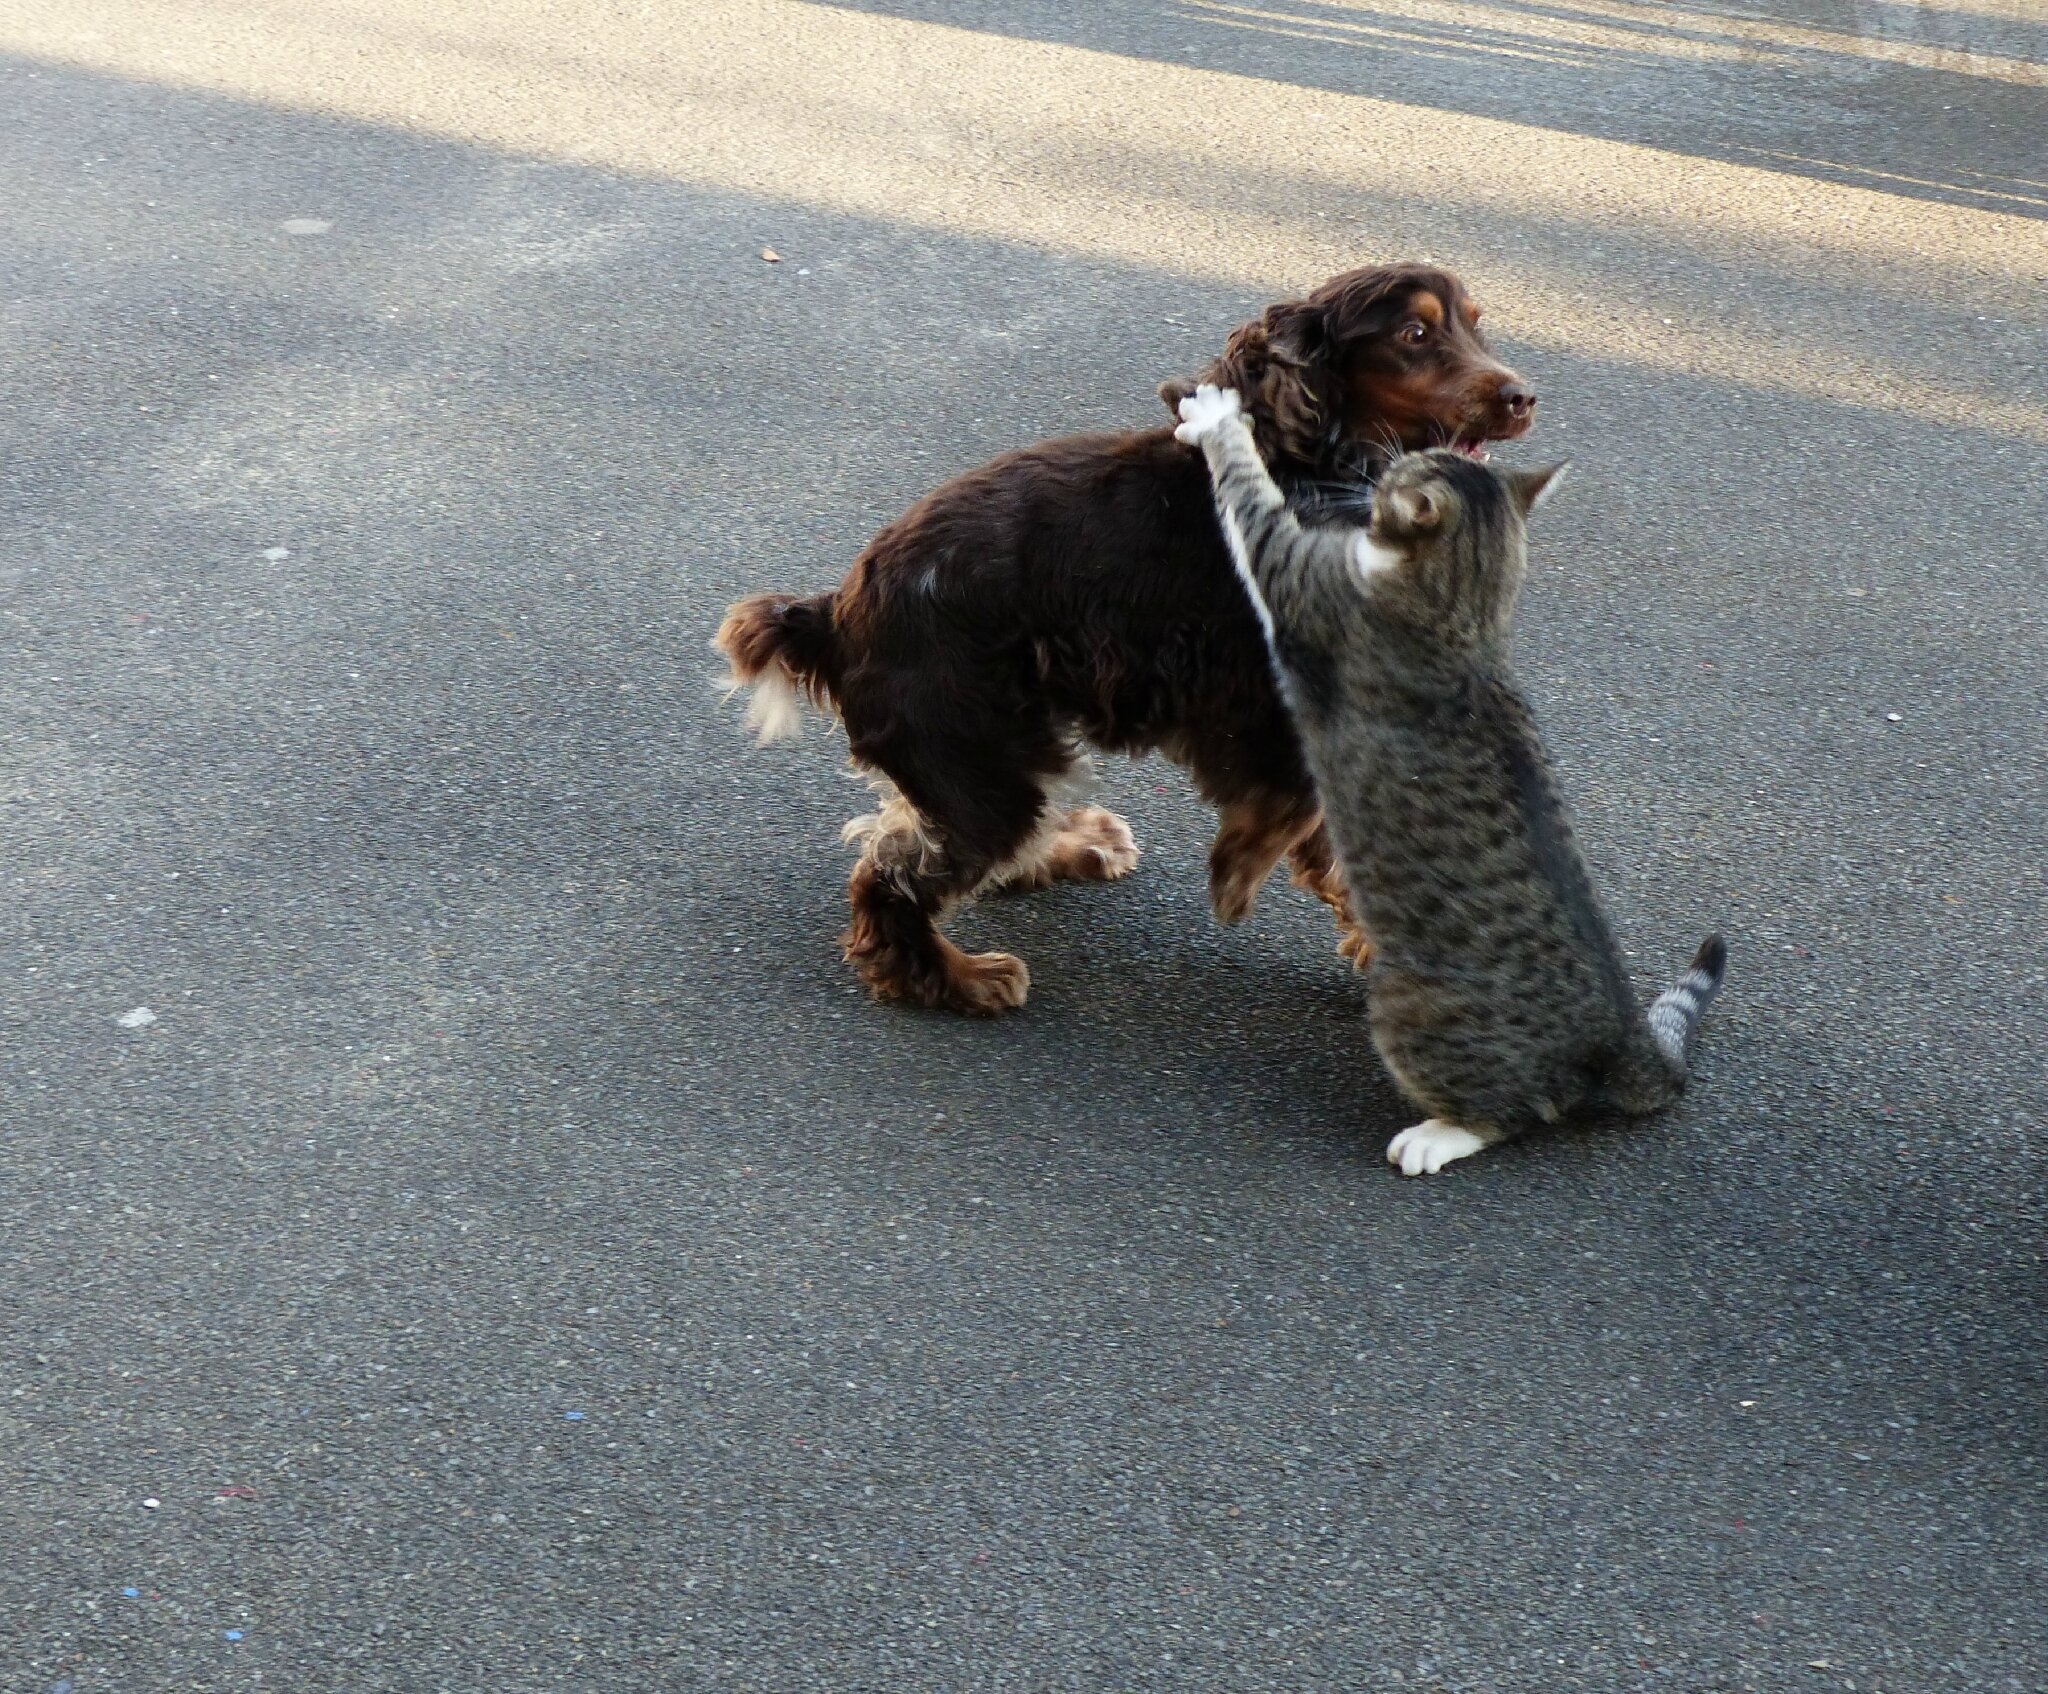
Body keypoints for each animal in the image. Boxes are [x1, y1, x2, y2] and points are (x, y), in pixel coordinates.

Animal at [720, 258, 1540, 1011]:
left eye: (1477, 324)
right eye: (1414, 335)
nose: (1521, 397)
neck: (1316, 471)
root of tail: (834, 613)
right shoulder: (1259, 700)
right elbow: (1300, 811)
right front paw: (1242, 872)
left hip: (1002, 744)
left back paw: (1081, 845)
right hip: (976, 756)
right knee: (894, 875)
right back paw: (961, 977)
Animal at [1179, 385, 1720, 1179]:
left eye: (1397, 473)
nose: (1376, 468)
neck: (1467, 620)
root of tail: (1621, 1034)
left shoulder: (1296, 577)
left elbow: (1252, 496)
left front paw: (1216, 419)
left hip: (1408, 1007)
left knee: (1518, 1112)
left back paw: (1436, 1136)